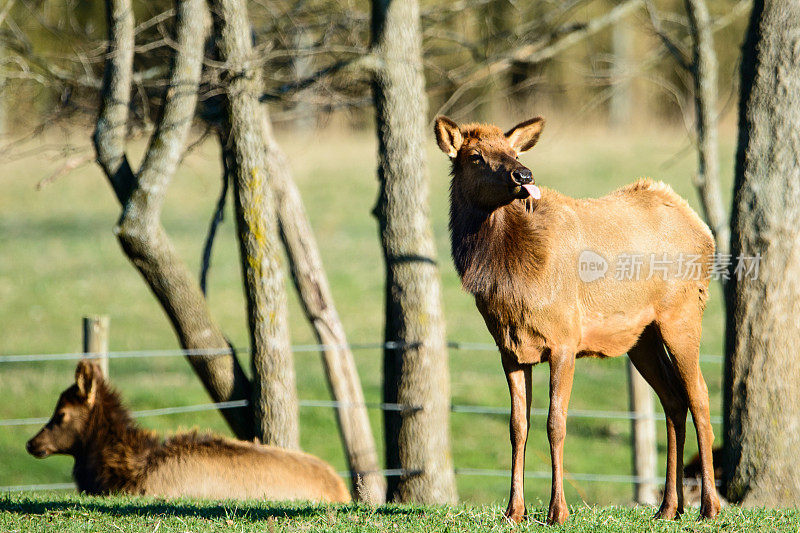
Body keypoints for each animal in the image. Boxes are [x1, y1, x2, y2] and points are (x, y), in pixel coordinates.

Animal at [434, 116, 720, 524]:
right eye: (474, 155)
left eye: (513, 150)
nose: (524, 174)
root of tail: (703, 228)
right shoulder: (510, 350)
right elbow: (517, 426)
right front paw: (513, 511)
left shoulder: (564, 339)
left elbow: (556, 423)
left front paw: (558, 511)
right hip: (641, 337)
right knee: (673, 400)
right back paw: (667, 508)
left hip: (682, 314)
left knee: (699, 395)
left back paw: (708, 507)